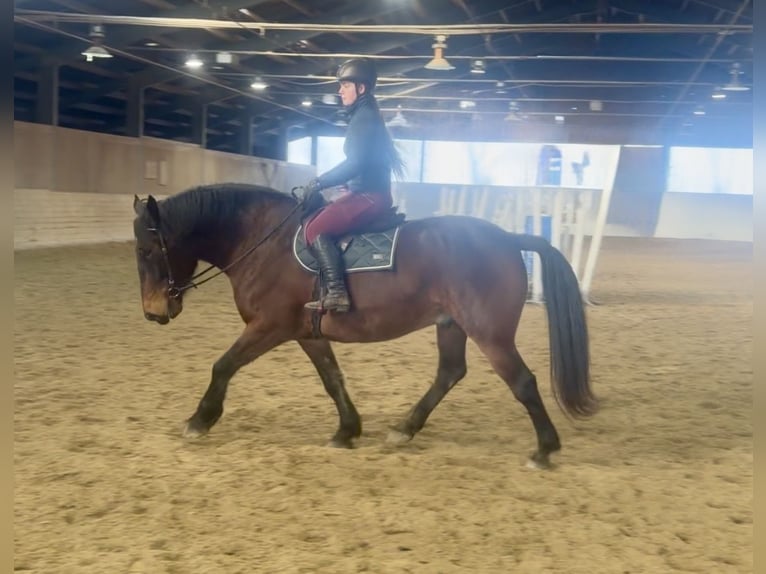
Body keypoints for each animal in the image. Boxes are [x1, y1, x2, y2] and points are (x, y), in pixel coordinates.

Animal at [132, 182, 596, 469]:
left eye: (148, 249)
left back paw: (544, 450)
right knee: (450, 372)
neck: (265, 242)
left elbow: (223, 365)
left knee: (522, 382)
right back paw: (405, 429)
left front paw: (200, 420)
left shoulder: (269, 327)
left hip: (490, 332)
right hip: (451, 324)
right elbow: (332, 378)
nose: (153, 312)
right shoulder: (306, 332)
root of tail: (507, 238)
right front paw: (347, 430)